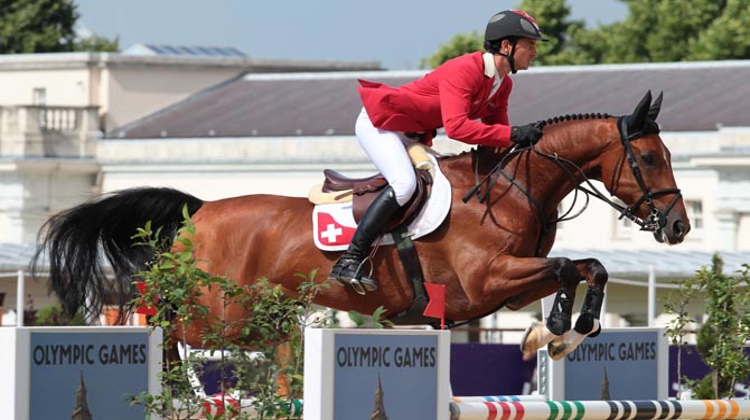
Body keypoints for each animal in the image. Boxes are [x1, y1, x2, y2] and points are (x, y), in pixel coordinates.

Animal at [32, 89, 692, 368]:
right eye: (649, 157)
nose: (680, 226)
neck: (510, 189)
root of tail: (202, 209)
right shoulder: (486, 282)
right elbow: (571, 268)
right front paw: (553, 330)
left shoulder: (504, 287)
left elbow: (585, 268)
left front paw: (559, 334)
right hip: (223, 314)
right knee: (165, 320)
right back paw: (166, 374)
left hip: (254, 314)